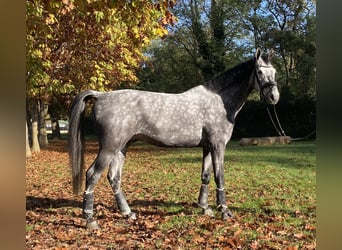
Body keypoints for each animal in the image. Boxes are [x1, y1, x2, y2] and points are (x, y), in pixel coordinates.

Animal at [69, 47, 278, 229]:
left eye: (274, 72)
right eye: (259, 71)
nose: (274, 97)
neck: (220, 101)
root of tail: (100, 95)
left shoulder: (207, 147)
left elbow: (206, 175)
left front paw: (205, 208)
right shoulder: (218, 146)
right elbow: (220, 176)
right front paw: (224, 212)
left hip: (121, 147)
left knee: (114, 177)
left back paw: (128, 213)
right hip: (109, 148)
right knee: (92, 175)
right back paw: (90, 220)